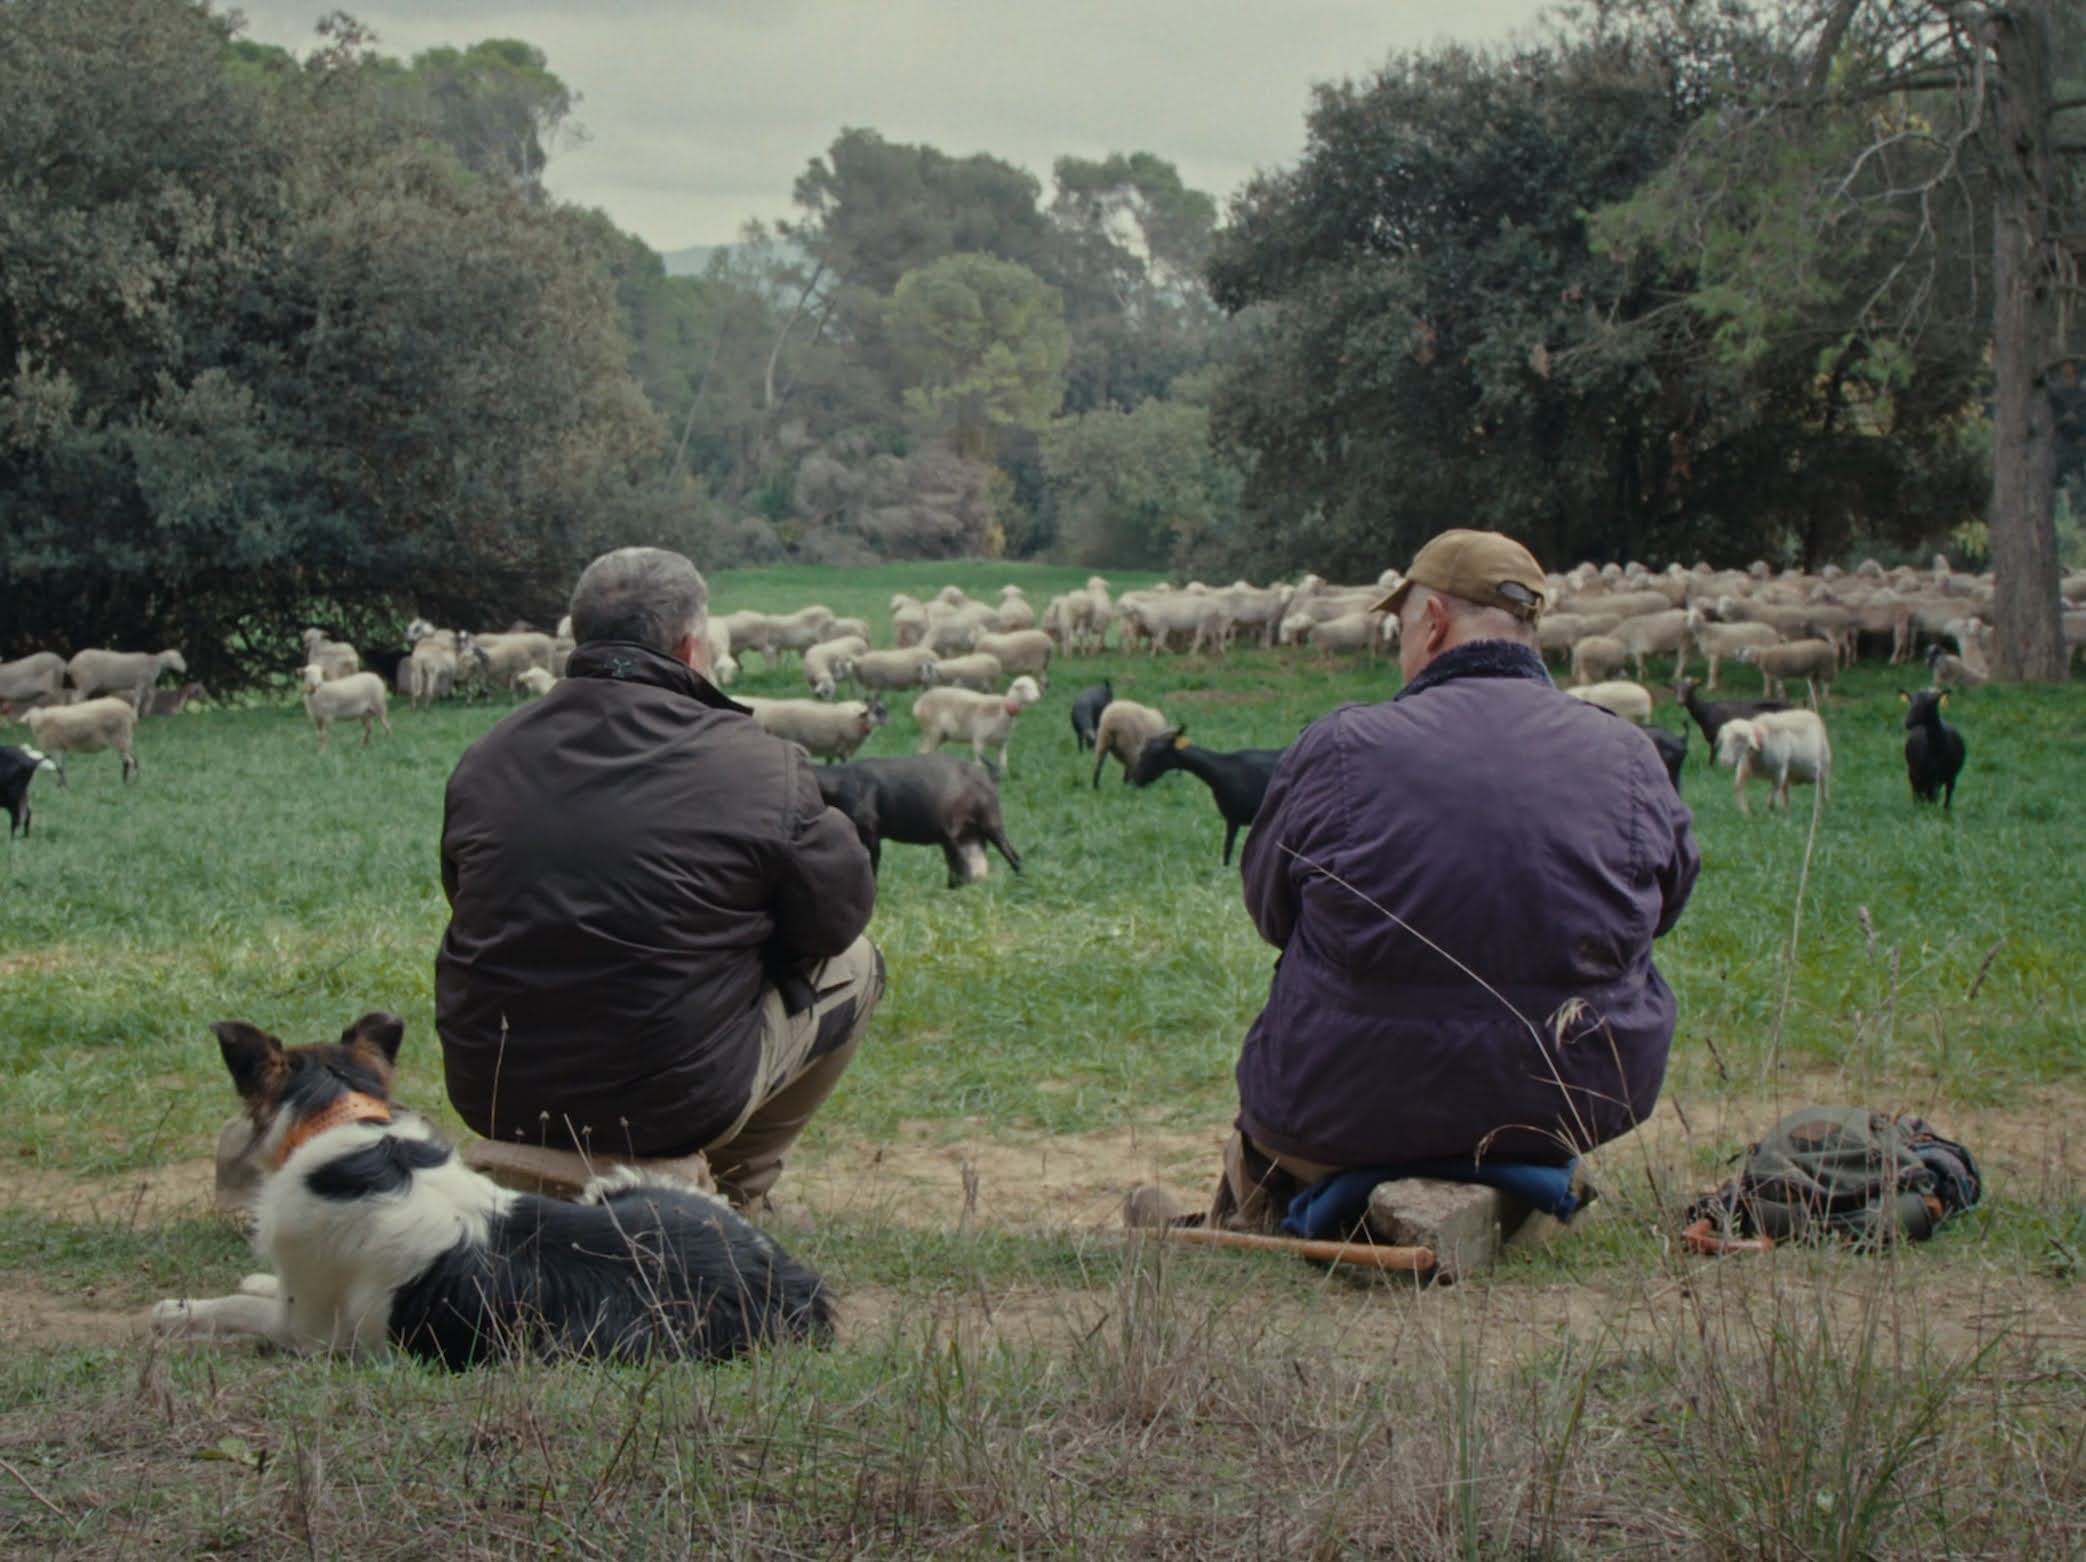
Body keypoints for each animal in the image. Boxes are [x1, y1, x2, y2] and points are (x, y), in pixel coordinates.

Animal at [151, 1013, 834, 1368]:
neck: (346, 1122)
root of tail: (791, 1281)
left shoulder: (308, 1331)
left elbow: (236, 1309)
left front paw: (177, 1311)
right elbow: (257, 1289)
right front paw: (246, 1281)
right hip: (619, 1186)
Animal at [809, 754, 1022, 888]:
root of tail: (989, 778)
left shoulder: (871, 835)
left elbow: (872, 866)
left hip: (990, 826)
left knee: (1012, 856)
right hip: (964, 838)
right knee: (967, 869)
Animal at [913, 671, 1043, 775]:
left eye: (1035, 686)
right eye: (1024, 687)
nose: (1038, 697)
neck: (1002, 710)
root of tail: (918, 704)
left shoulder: (1002, 743)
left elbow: (1003, 762)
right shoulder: (979, 739)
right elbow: (978, 764)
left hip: (942, 735)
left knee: (927, 752)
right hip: (933, 730)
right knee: (923, 751)